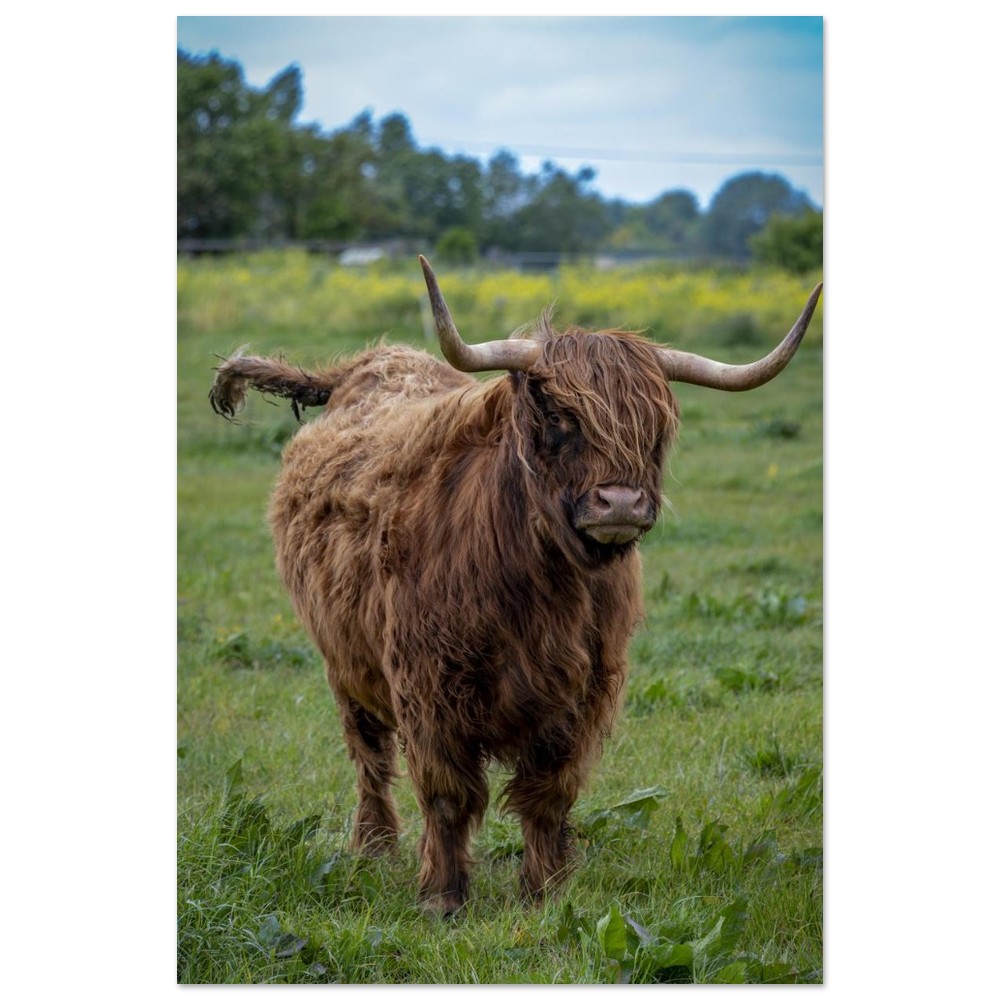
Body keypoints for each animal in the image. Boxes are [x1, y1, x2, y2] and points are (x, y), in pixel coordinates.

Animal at [209, 255, 822, 915]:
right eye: (559, 416)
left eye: (655, 425)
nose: (621, 502)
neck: (538, 589)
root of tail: (372, 360)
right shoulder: (427, 683)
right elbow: (448, 793)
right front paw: (442, 898)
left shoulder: (584, 691)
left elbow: (548, 794)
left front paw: (545, 890)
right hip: (343, 657)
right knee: (368, 755)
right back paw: (372, 846)